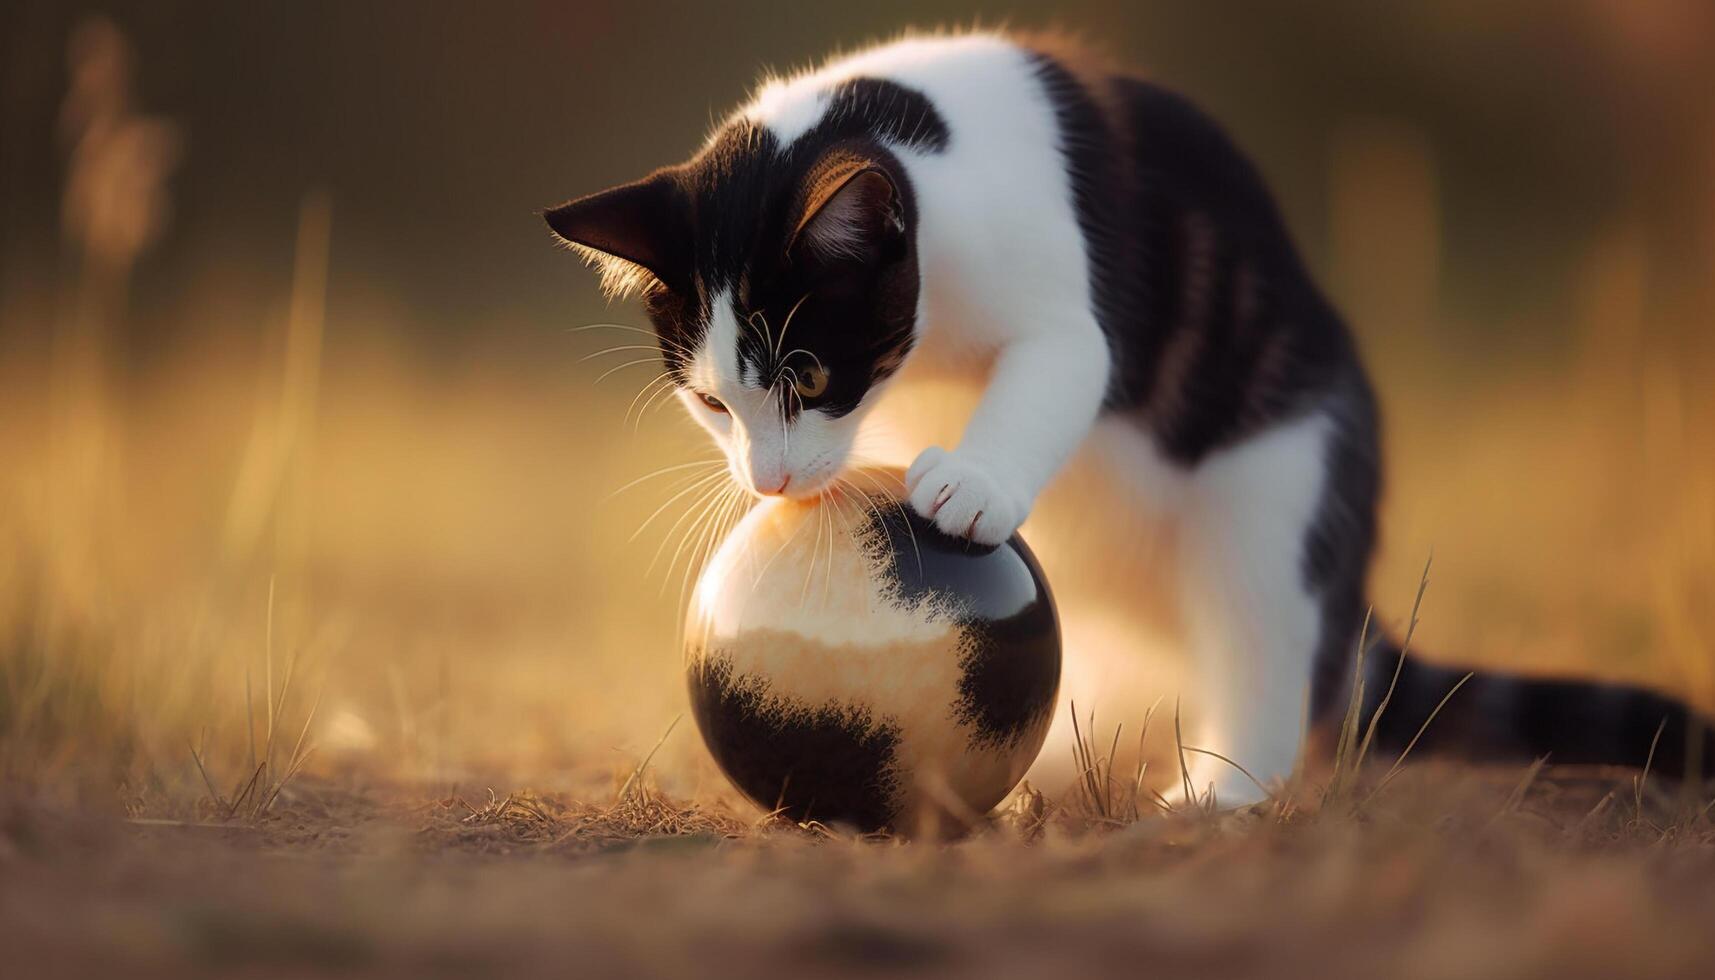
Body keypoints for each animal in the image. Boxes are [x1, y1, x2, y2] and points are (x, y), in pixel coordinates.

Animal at [541, 30, 1708, 806]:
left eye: (810, 370)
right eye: (709, 401)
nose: (770, 482)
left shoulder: (1061, 302)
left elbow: (1058, 366)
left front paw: (969, 482)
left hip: (1279, 486)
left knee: (1266, 644)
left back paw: (1223, 792)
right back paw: (1055, 768)